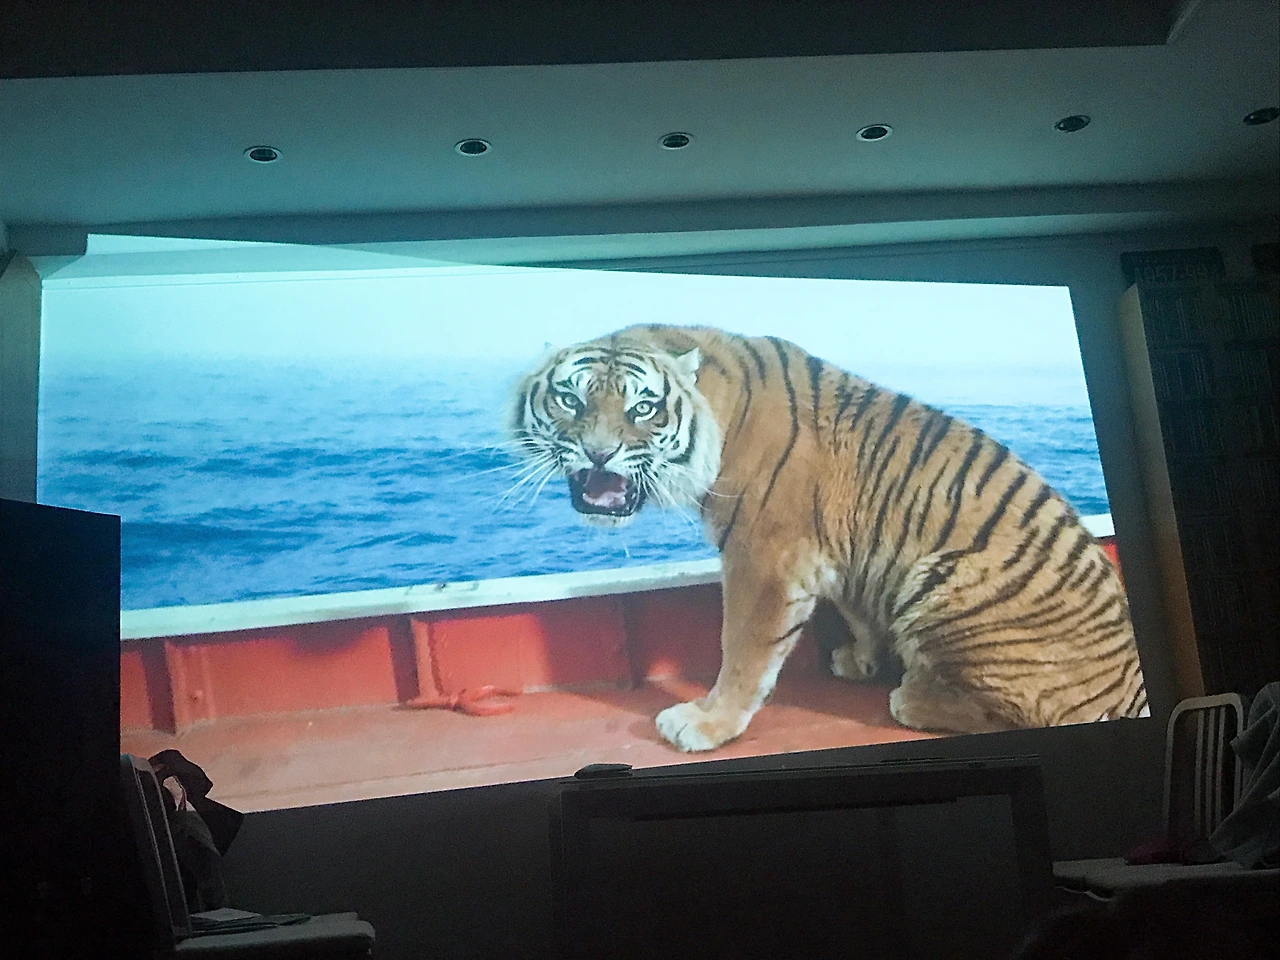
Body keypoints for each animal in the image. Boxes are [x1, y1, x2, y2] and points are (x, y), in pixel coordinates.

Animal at [511, 323, 1147, 752]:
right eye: (569, 399)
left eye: (643, 409)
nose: (598, 453)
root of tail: (1132, 691)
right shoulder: (836, 546)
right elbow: (857, 606)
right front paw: (860, 658)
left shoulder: (763, 556)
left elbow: (742, 648)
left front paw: (706, 725)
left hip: (943, 580)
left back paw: (913, 693)